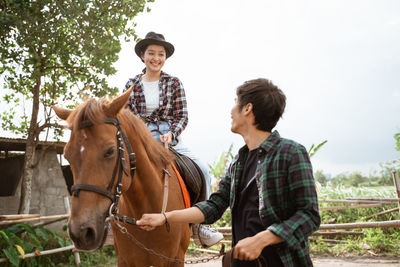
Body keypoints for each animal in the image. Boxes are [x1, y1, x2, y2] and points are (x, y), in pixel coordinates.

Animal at [52, 89, 190, 266]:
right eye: (67, 155)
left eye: (110, 151)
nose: (80, 233)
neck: (146, 214)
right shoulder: (124, 260)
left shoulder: (176, 259)